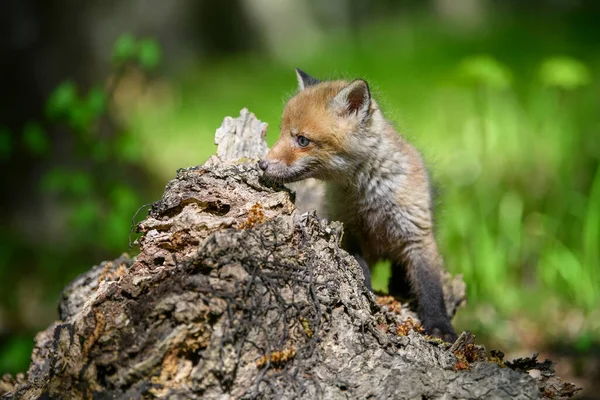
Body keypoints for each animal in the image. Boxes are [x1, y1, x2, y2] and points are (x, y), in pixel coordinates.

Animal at [256, 70, 454, 342]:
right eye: (282, 133)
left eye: (302, 140)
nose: (262, 164)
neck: (369, 196)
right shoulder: (347, 230)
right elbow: (360, 271)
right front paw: (367, 299)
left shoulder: (417, 233)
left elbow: (431, 285)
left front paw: (440, 326)